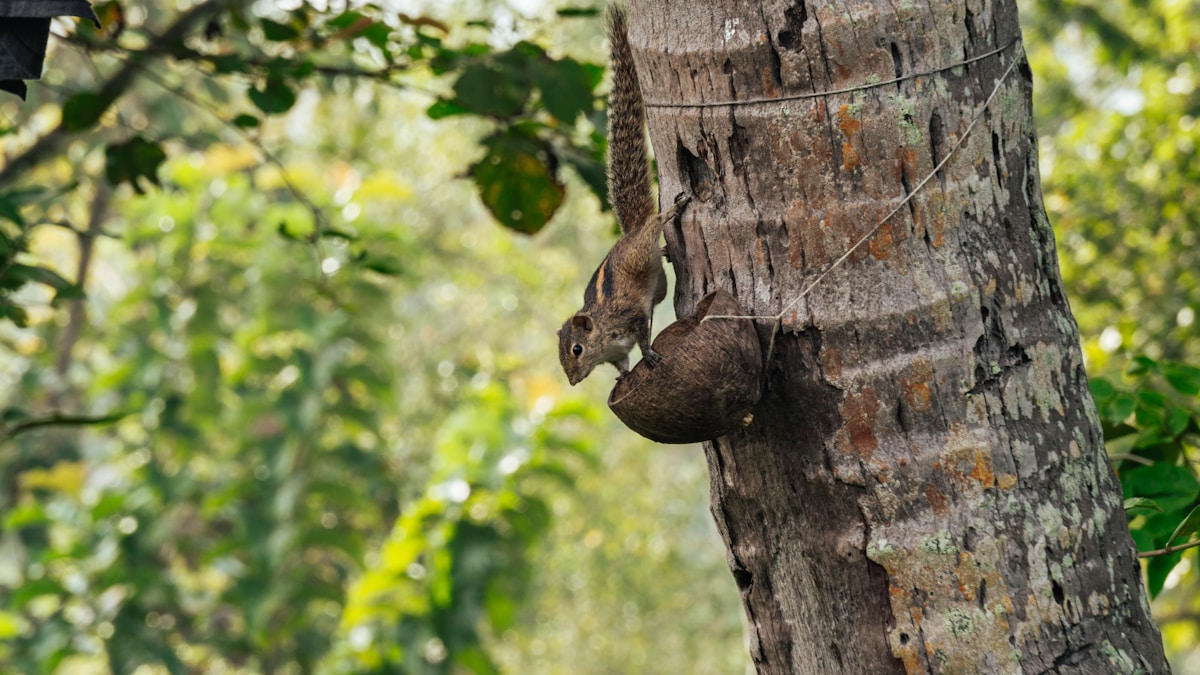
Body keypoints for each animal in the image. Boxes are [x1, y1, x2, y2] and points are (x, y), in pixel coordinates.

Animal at [557, 4, 688, 386]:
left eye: (576, 349)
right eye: (561, 356)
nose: (573, 381)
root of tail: (628, 233)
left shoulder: (630, 317)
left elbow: (642, 334)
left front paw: (649, 355)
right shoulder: (616, 352)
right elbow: (621, 363)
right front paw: (623, 376)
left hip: (639, 250)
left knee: (652, 226)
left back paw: (669, 215)